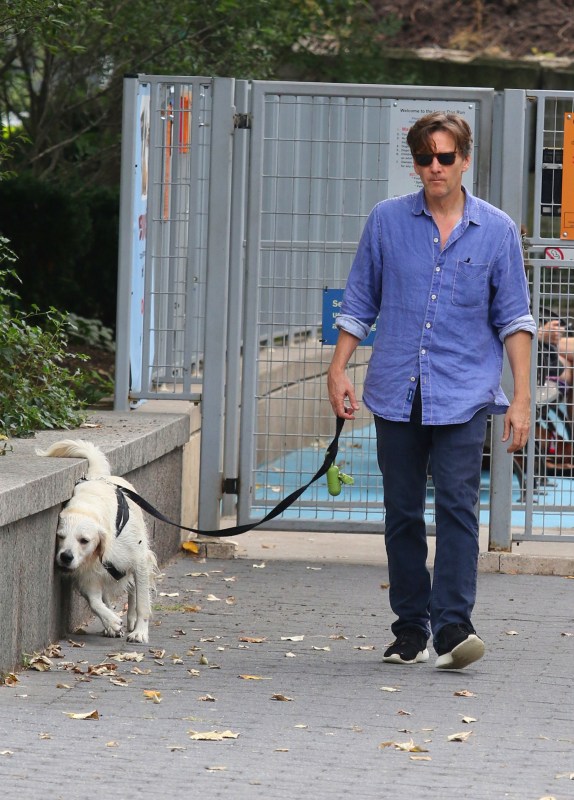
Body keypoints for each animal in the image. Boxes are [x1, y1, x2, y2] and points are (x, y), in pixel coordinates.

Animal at [38, 438, 159, 644]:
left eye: (84, 540)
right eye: (60, 536)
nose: (66, 557)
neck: (88, 507)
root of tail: (99, 477)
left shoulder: (140, 561)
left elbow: (142, 602)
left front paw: (140, 632)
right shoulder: (87, 574)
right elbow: (96, 602)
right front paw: (111, 622)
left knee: (134, 592)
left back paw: (132, 622)